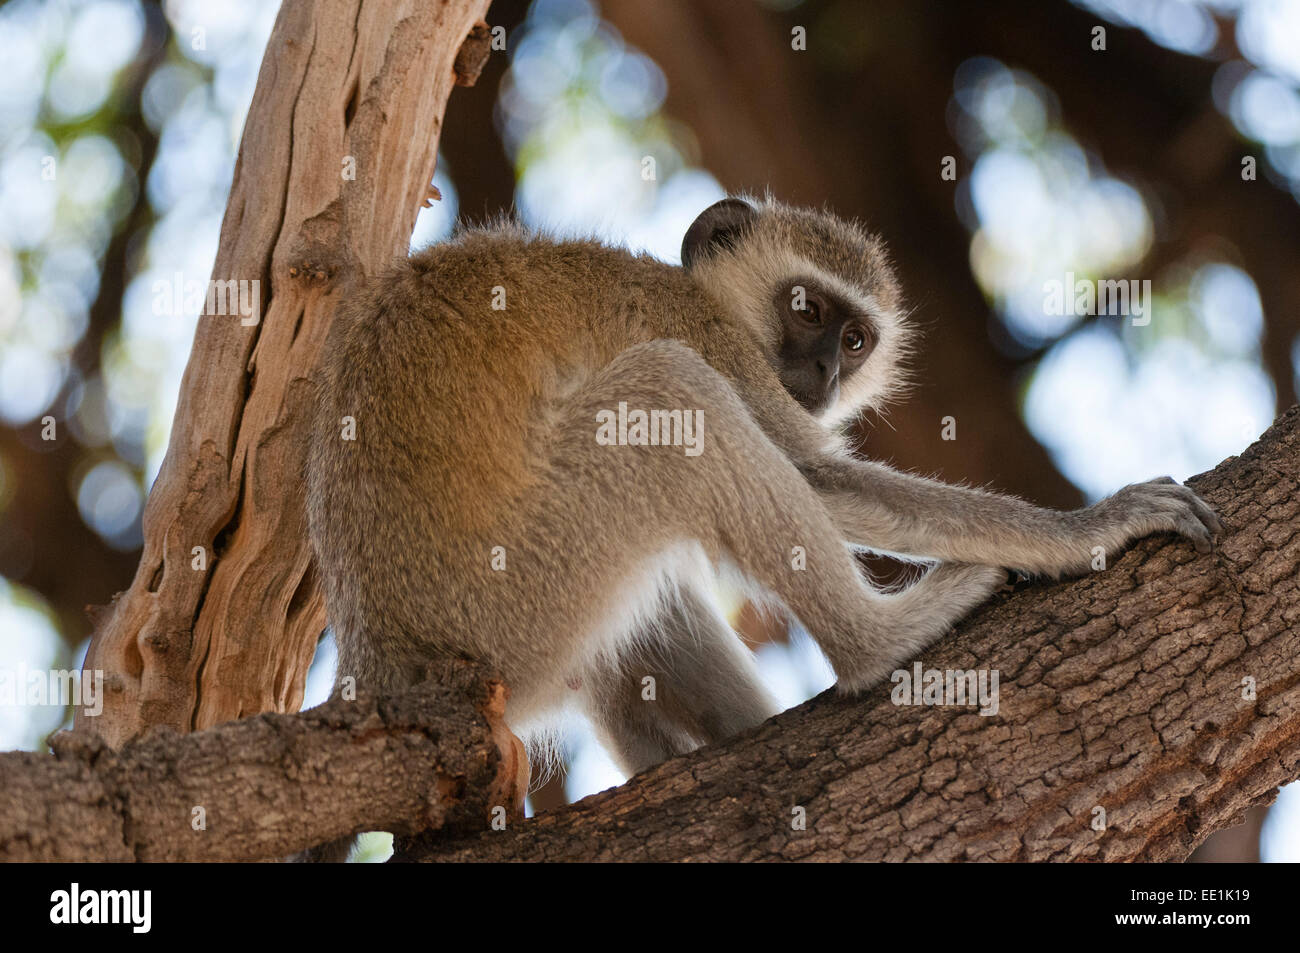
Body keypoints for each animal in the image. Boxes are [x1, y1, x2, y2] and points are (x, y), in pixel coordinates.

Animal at [302, 195, 1221, 858]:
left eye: (855, 338)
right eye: (805, 307)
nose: (821, 371)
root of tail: (383, 665)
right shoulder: (711, 338)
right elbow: (816, 474)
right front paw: (1090, 526)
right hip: (514, 595)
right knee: (671, 395)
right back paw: (878, 642)